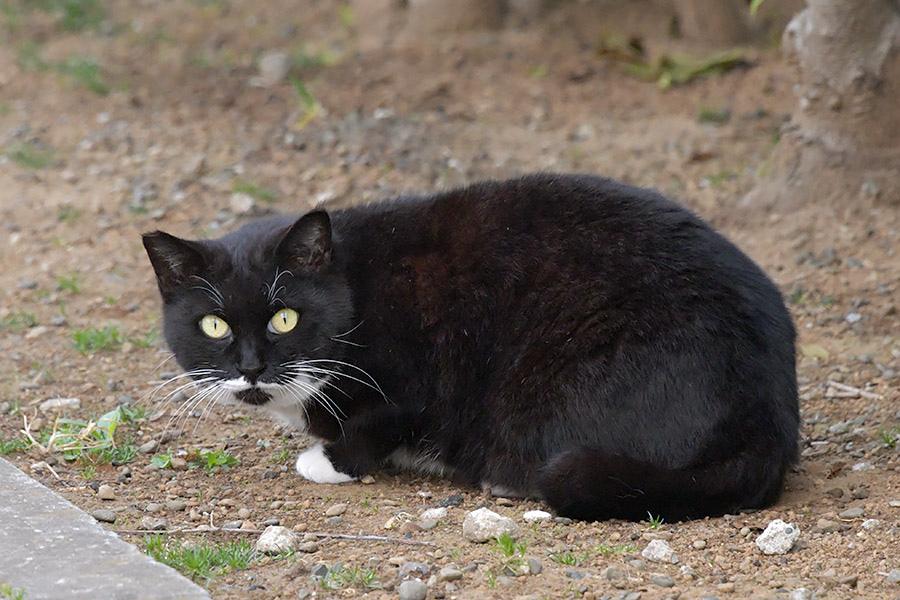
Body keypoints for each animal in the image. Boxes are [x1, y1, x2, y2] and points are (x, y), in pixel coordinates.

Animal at [144, 173, 800, 520]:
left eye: (284, 317)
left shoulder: (412, 374)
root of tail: (767, 419)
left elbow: (381, 420)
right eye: (214, 327)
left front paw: (330, 460)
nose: (252, 367)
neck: (354, 282)